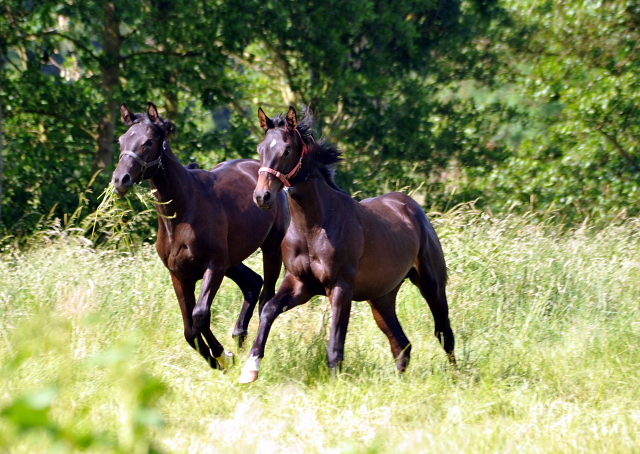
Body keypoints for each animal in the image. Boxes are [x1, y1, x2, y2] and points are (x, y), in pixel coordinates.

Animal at [112, 102, 288, 368]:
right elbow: (189, 330)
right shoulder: (179, 275)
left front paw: (223, 355)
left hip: (270, 249)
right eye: (122, 140)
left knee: (266, 295)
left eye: (148, 141)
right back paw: (239, 335)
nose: (120, 180)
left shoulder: (214, 266)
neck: (182, 213)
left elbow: (200, 315)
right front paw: (217, 361)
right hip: (232, 260)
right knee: (252, 282)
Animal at [240, 106, 456, 384]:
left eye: (286, 149)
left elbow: (335, 344)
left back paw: (457, 377)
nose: (262, 197)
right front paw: (250, 368)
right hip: (382, 299)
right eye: (260, 148)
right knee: (401, 344)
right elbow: (268, 311)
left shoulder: (340, 288)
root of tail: (412, 207)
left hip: (432, 286)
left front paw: (335, 382)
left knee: (444, 333)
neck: (314, 227)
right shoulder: (300, 284)